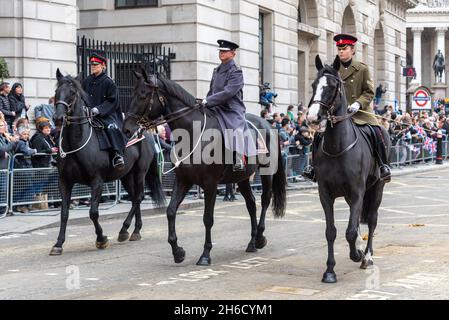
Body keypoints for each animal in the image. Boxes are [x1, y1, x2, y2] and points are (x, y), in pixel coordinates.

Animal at [50, 69, 164, 255]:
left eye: (73, 93)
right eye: (56, 91)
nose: (58, 118)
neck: (77, 142)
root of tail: (145, 130)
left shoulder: (97, 180)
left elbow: (93, 212)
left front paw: (101, 239)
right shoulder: (64, 181)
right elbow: (64, 213)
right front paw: (58, 244)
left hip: (140, 171)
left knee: (139, 196)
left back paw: (126, 230)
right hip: (126, 175)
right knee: (134, 197)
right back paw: (134, 230)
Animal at [122, 71, 286, 266]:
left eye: (143, 95)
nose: (126, 129)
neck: (192, 134)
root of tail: (268, 124)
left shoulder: (210, 184)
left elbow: (208, 218)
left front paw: (205, 254)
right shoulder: (183, 180)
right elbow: (171, 211)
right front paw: (177, 251)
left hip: (267, 172)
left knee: (265, 200)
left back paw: (260, 237)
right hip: (242, 177)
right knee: (251, 204)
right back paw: (252, 242)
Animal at [304, 56, 388, 284]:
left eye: (333, 87)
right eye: (314, 85)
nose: (312, 117)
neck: (337, 147)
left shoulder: (358, 191)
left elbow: (350, 231)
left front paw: (357, 255)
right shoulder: (325, 194)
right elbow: (331, 231)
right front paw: (329, 271)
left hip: (377, 188)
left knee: (372, 220)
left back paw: (367, 256)